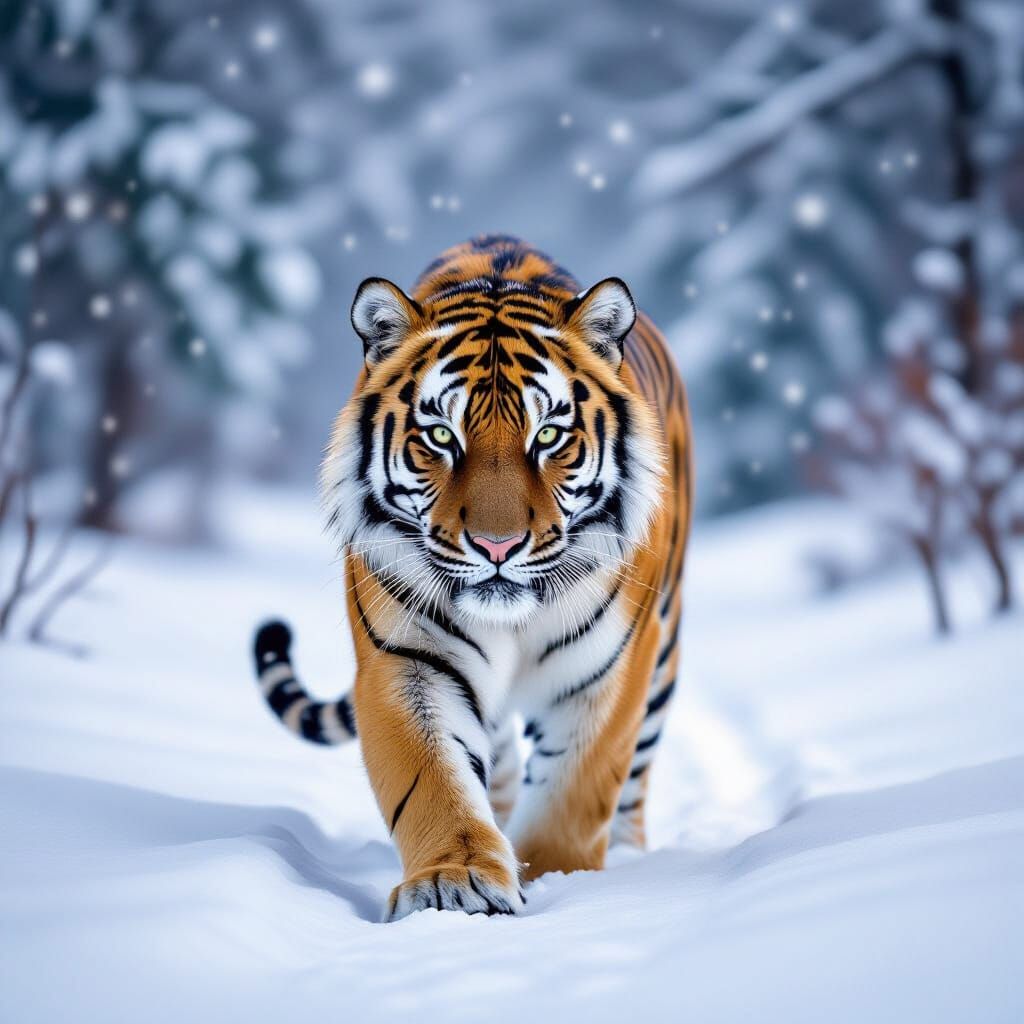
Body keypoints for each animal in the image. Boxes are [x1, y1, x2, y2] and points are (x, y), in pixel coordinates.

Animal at [252, 235, 692, 921]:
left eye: (549, 435)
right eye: (440, 435)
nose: (497, 545)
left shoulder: (609, 671)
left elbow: (575, 793)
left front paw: (561, 883)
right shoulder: (408, 659)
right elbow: (432, 778)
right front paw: (455, 884)